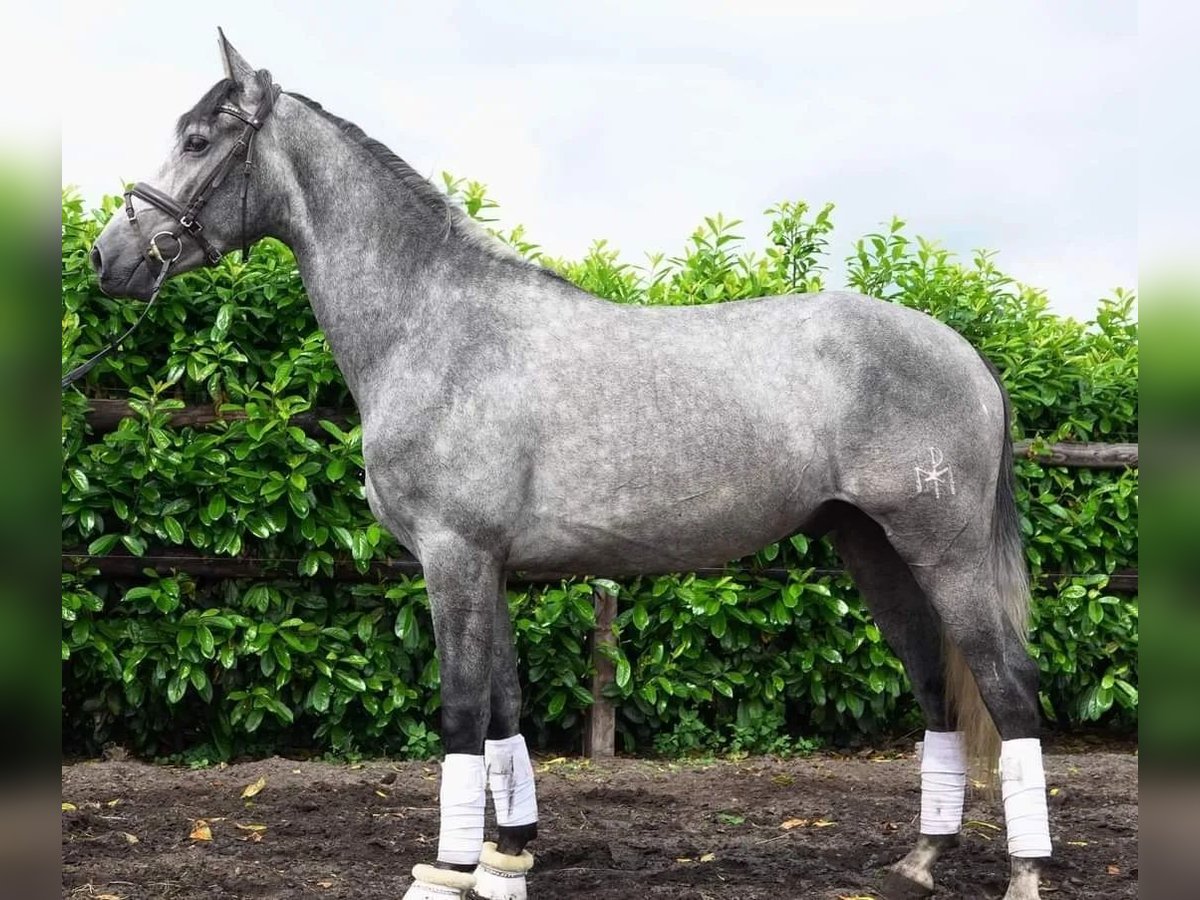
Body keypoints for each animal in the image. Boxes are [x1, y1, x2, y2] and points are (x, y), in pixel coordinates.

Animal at [85, 30, 1051, 900]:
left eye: (198, 141)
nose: (107, 258)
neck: (437, 324)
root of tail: (966, 353)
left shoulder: (453, 557)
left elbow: (461, 713)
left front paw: (448, 873)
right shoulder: (488, 566)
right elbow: (504, 712)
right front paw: (506, 859)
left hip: (944, 551)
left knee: (1010, 690)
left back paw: (1025, 874)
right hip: (874, 549)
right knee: (937, 687)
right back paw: (919, 862)